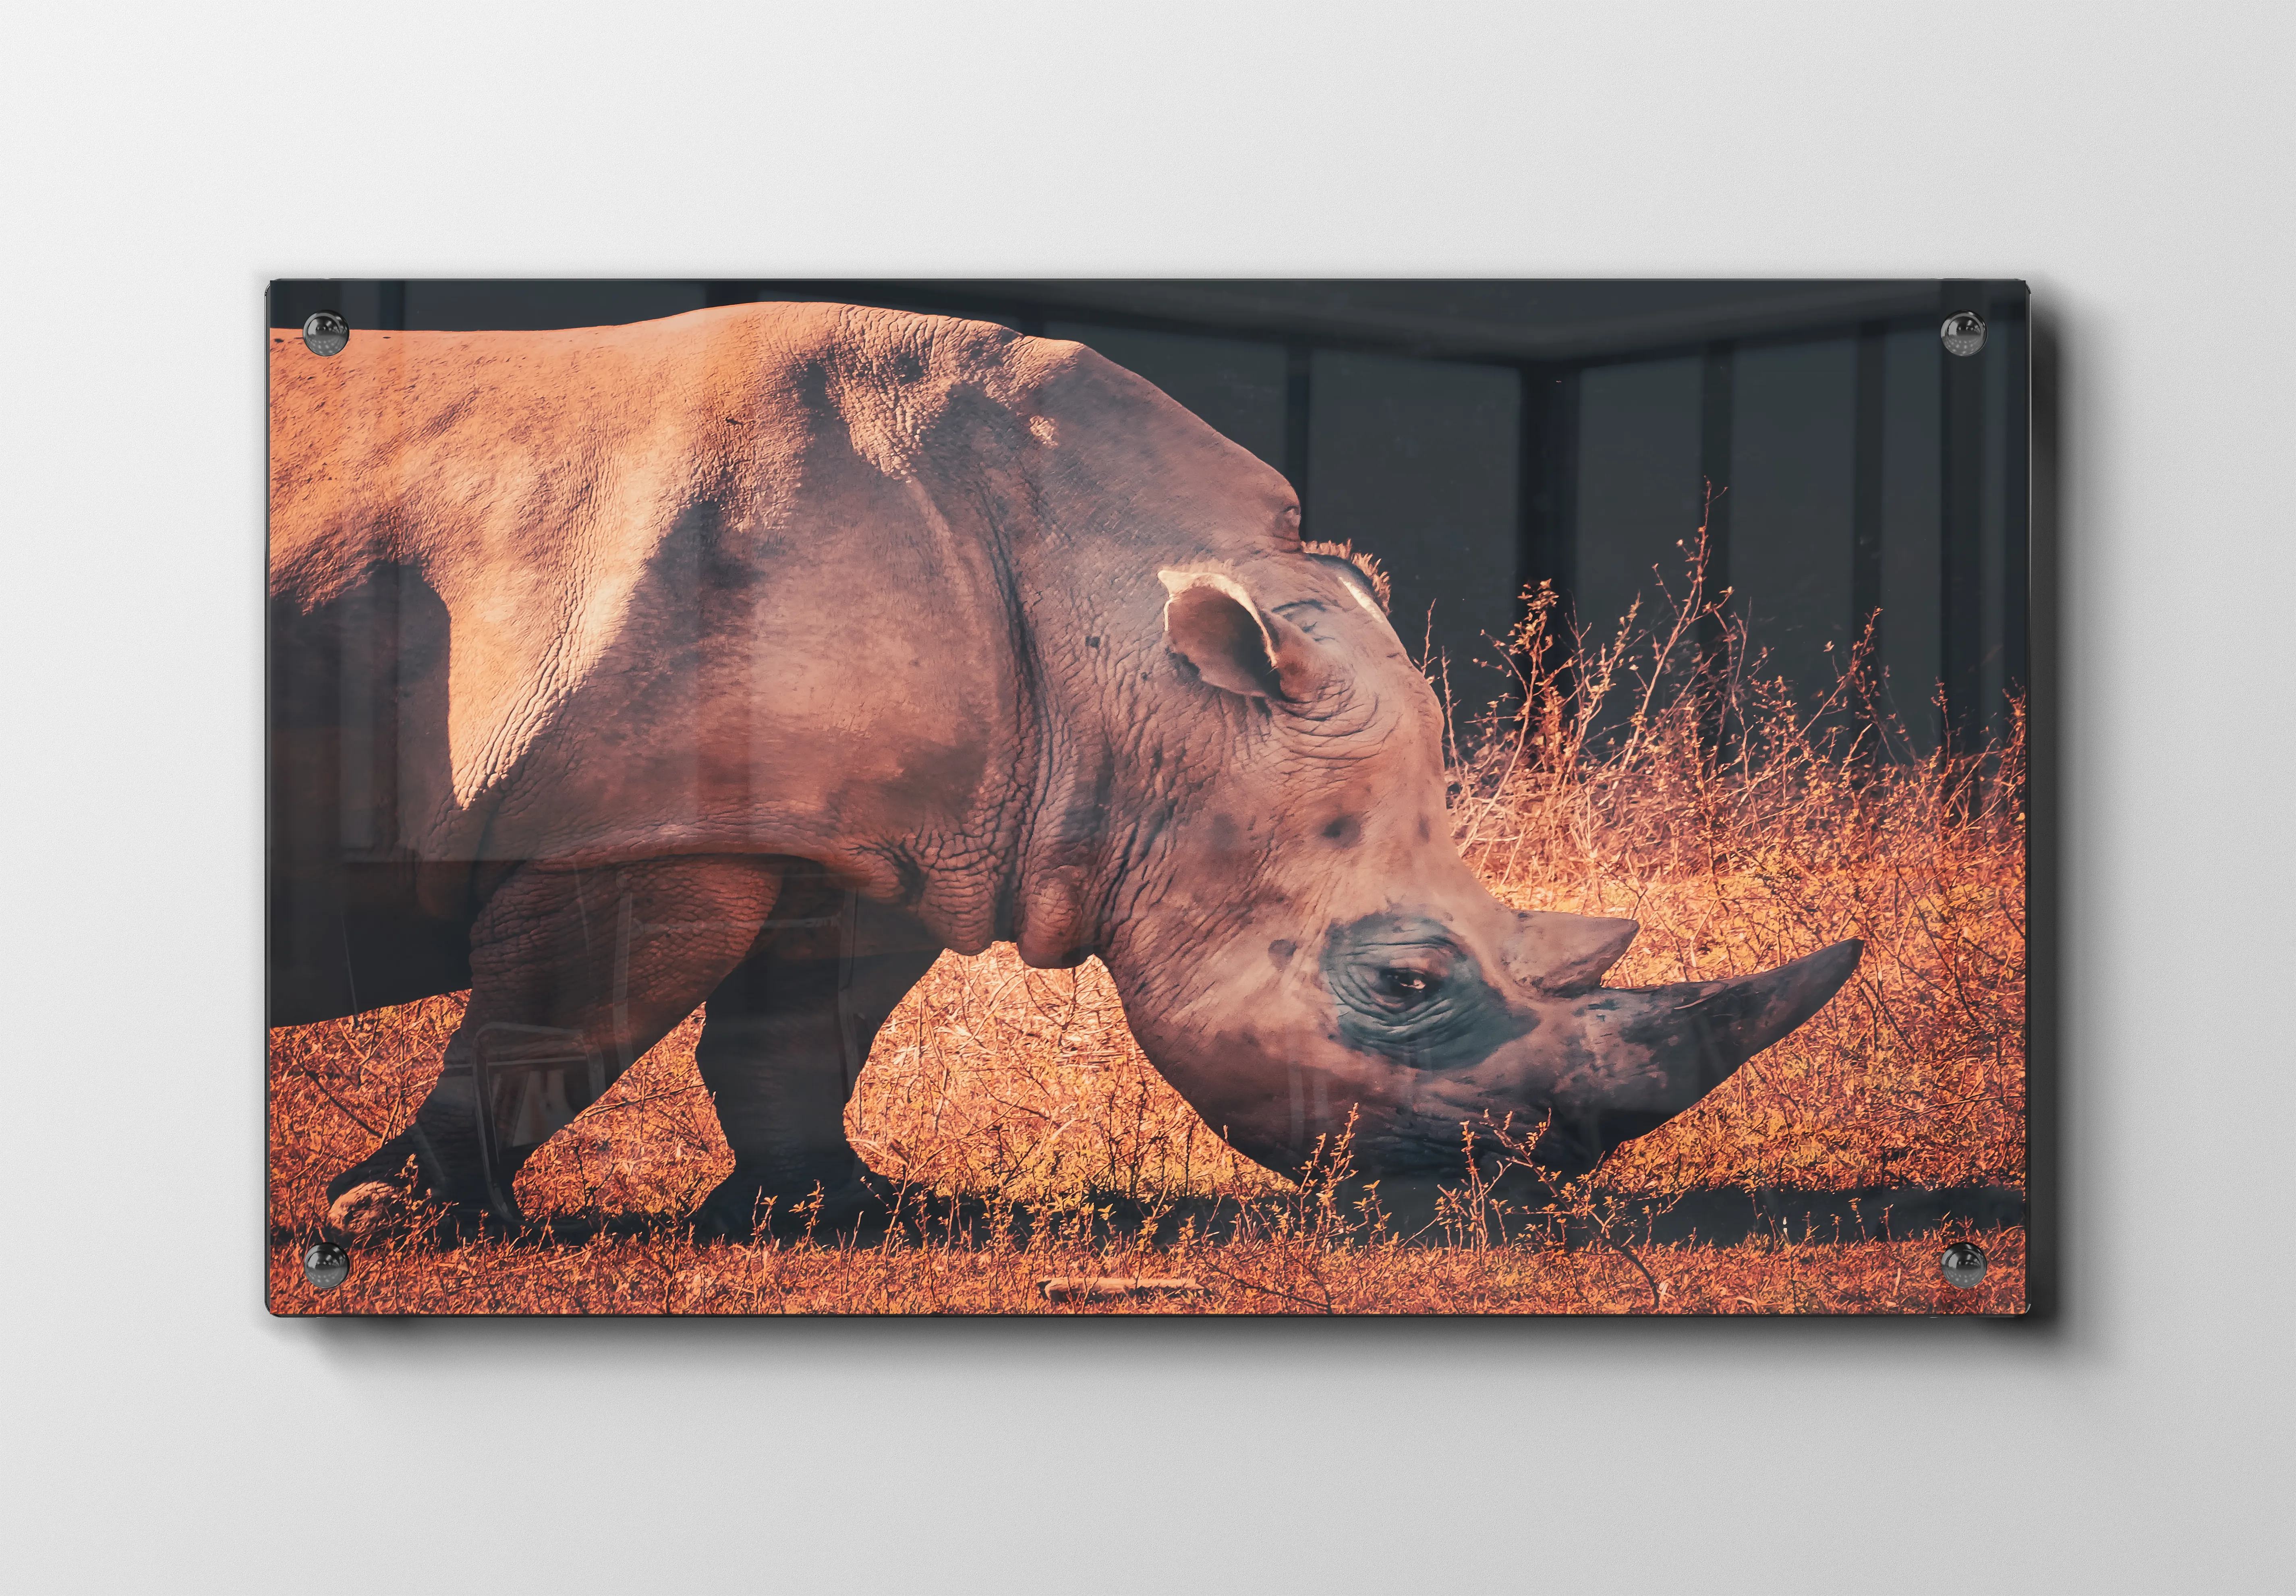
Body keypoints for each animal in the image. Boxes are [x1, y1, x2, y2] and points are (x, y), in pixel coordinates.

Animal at [268, 300, 1860, 1237]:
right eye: (1407, 984)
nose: (1506, 1184)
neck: (1128, 622)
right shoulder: (648, 821)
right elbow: (560, 1022)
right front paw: (399, 1224)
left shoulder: (884, 822)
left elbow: (797, 1027)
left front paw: (845, 1211)